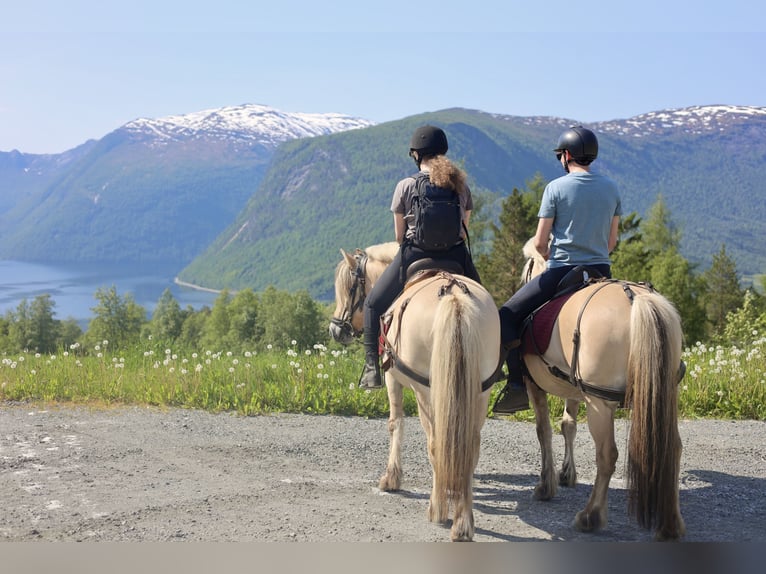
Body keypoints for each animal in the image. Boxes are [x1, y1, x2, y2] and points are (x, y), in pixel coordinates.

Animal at [330, 244, 504, 544]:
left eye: (348, 287)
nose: (335, 329)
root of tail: (455, 296)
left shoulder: (392, 378)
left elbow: (395, 424)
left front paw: (391, 479)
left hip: (427, 394)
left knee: (434, 443)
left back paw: (438, 509)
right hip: (479, 393)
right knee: (469, 446)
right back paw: (463, 521)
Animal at [520, 236, 688, 544]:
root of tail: (636, 299)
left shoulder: (533, 384)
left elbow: (543, 430)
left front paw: (546, 485)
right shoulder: (574, 388)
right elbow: (567, 425)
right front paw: (567, 474)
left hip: (600, 402)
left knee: (607, 455)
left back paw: (591, 516)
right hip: (664, 396)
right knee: (674, 449)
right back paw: (670, 523)